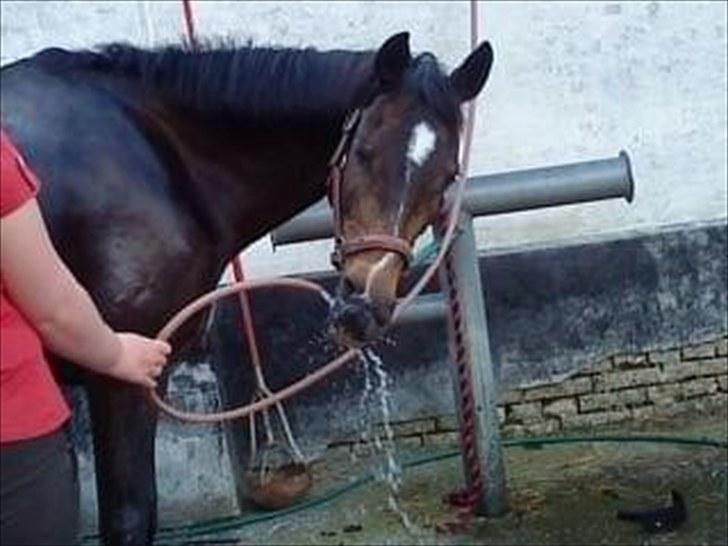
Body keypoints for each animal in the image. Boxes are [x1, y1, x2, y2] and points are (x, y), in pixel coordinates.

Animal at [0, 31, 492, 540]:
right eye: (364, 152)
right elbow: (130, 516)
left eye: (448, 176)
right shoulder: (121, 379)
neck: (154, 156)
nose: (361, 308)